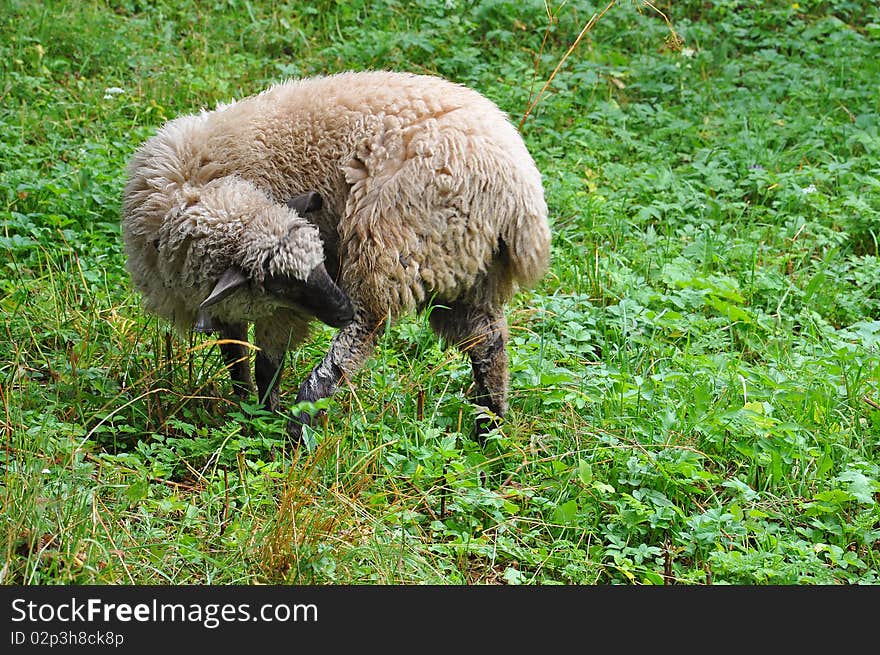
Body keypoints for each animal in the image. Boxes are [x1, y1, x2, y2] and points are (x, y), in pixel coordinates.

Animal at [122, 69, 552, 444]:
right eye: (279, 282)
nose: (339, 307)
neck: (194, 187)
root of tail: (519, 191)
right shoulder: (227, 300)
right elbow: (235, 358)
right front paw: (244, 410)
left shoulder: (275, 310)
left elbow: (267, 365)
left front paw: (263, 418)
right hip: (463, 264)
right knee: (488, 343)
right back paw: (489, 428)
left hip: (392, 247)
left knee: (364, 329)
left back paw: (301, 422)